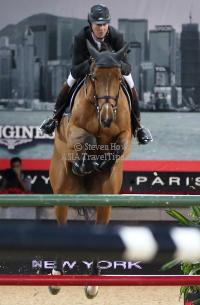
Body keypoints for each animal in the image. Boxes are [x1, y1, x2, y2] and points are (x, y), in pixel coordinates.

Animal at [48, 40, 132, 296]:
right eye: (94, 76)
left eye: (118, 77)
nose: (106, 117)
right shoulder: (72, 130)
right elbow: (88, 139)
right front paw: (84, 163)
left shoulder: (125, 135)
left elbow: (118, 147)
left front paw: (103, 163)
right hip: (62, 192)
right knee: (61, 224)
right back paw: (56, 276)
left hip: (105, 199)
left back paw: (93, 282)